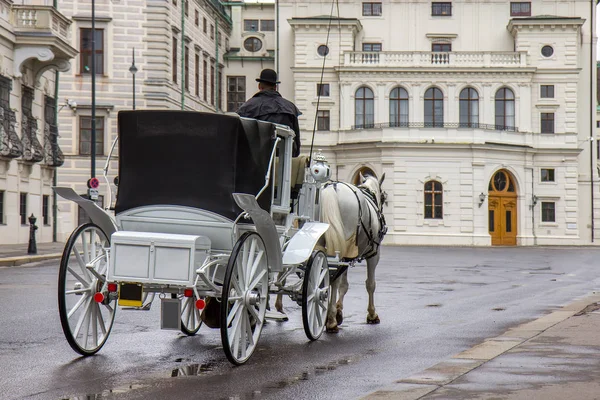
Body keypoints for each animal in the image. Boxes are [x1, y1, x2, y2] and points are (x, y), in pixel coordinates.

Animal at [322, 173, 386, 332]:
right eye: (383, 197)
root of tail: (332, 188)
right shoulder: (373, 255)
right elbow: (370, 284)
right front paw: (372, 314)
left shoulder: (349, 255)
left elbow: (344, 285)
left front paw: (338, 310)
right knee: (333, 279)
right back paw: (331, 320)